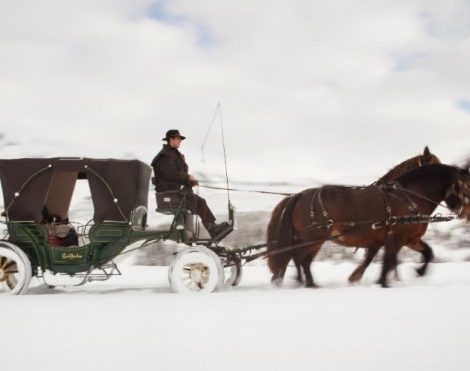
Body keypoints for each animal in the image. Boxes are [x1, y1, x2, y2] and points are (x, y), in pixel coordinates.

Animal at [266, 164, 468, 290]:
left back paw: (305, 282)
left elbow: (427, 253)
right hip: (314, 238)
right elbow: (387, 261)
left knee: (298, 258)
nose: (467, 213)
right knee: (300, 258)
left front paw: (418, 272)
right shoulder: (395, 239)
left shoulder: (409, 239)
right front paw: (383, 283)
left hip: (309, 239)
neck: (409, 197)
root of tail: (299, 195)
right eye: (466, 186)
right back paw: (307, 283)